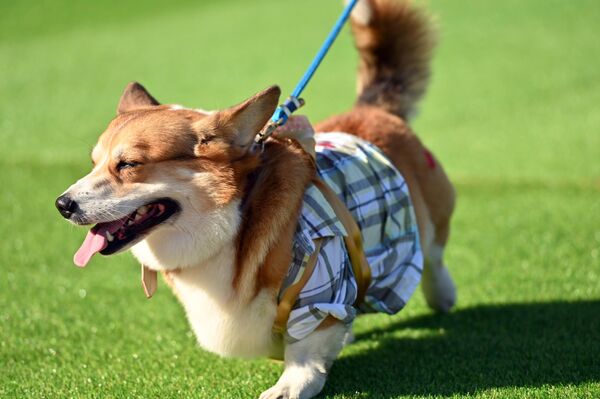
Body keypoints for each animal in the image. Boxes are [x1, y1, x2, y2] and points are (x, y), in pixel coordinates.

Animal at [58, 1, 458, 398]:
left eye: (129, 164)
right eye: (94, 163)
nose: (62, 204)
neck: (230, 228)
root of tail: (372, 109)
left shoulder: (321, 285)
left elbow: (305, 353)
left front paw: (290, 385)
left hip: (427, 218)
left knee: (433, 255)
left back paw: (442, 294)